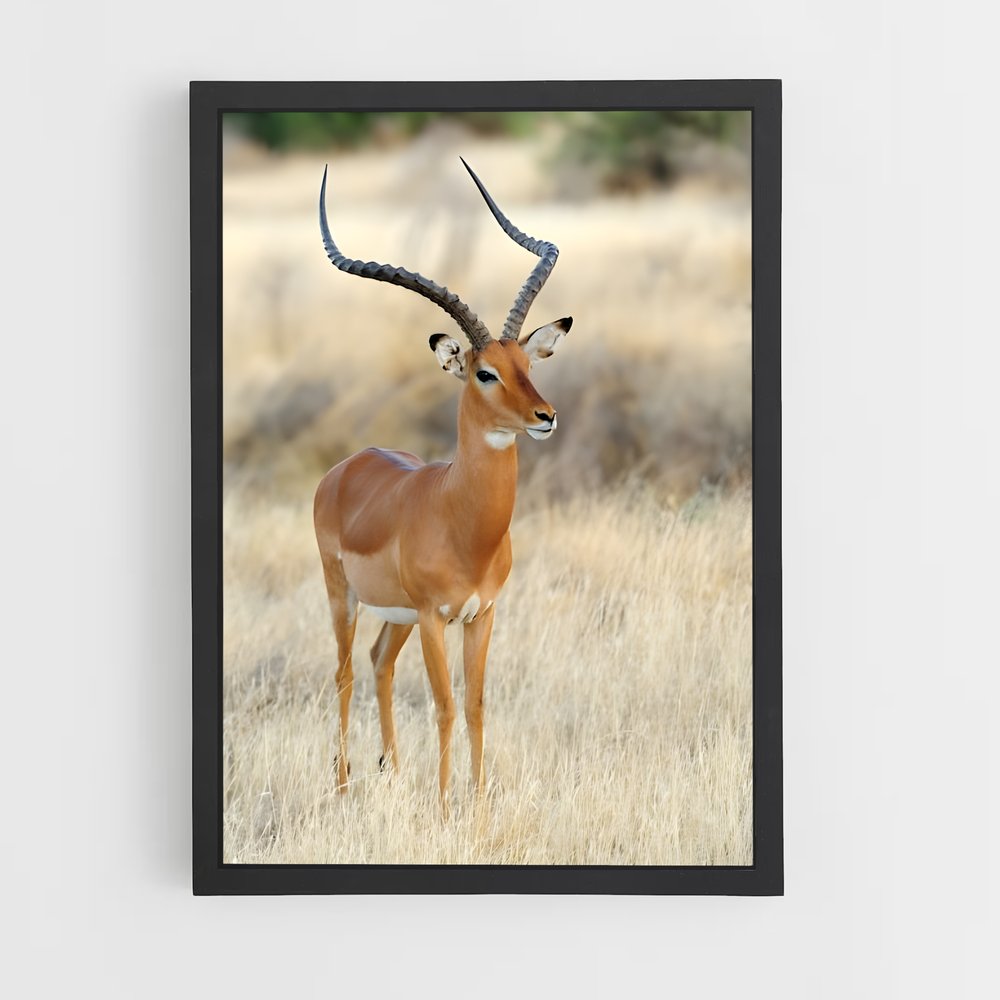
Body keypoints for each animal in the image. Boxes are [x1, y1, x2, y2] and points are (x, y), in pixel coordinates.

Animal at [314, 158, 570, 812]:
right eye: (485, 373)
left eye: (527, 366)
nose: (546, 416)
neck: (464, 522)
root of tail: (345, 467)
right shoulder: (435, 617)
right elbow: (447, 706)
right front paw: (447, 806)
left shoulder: (482, 615)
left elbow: (476, 706)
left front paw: (475, 803)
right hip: (344, 595)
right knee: (345, 672)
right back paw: (344, 784)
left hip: (397, 616)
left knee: (378, 662)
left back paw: (392, 772)